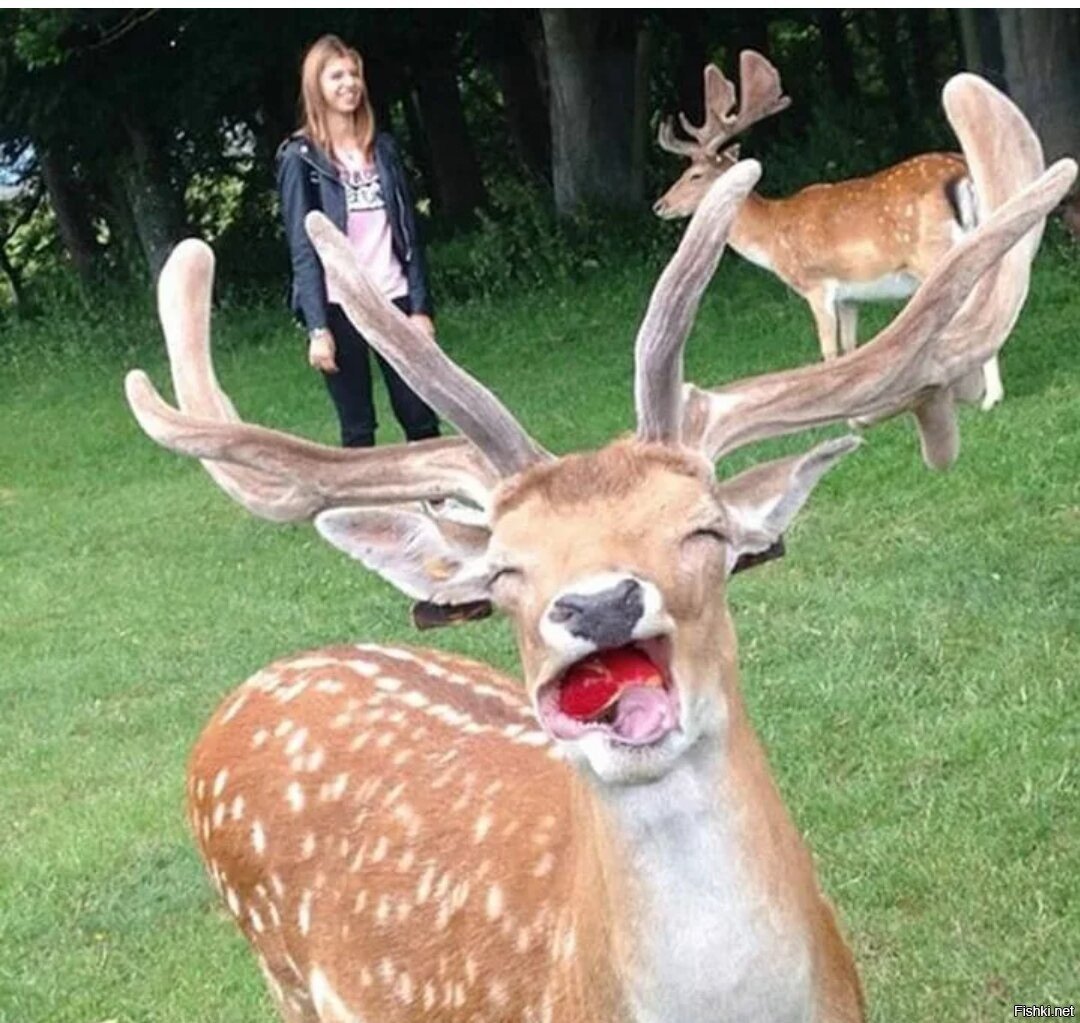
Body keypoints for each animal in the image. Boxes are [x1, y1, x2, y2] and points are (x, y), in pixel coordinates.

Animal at [654, 51, 1008, 413]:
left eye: (696, 175)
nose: (660, 205)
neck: (771, 237)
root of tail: (961, 173)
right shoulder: (849, 295)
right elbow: (851, 349)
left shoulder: (816, 284)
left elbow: (829, 350)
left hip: (934, 254)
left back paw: (990, 397)